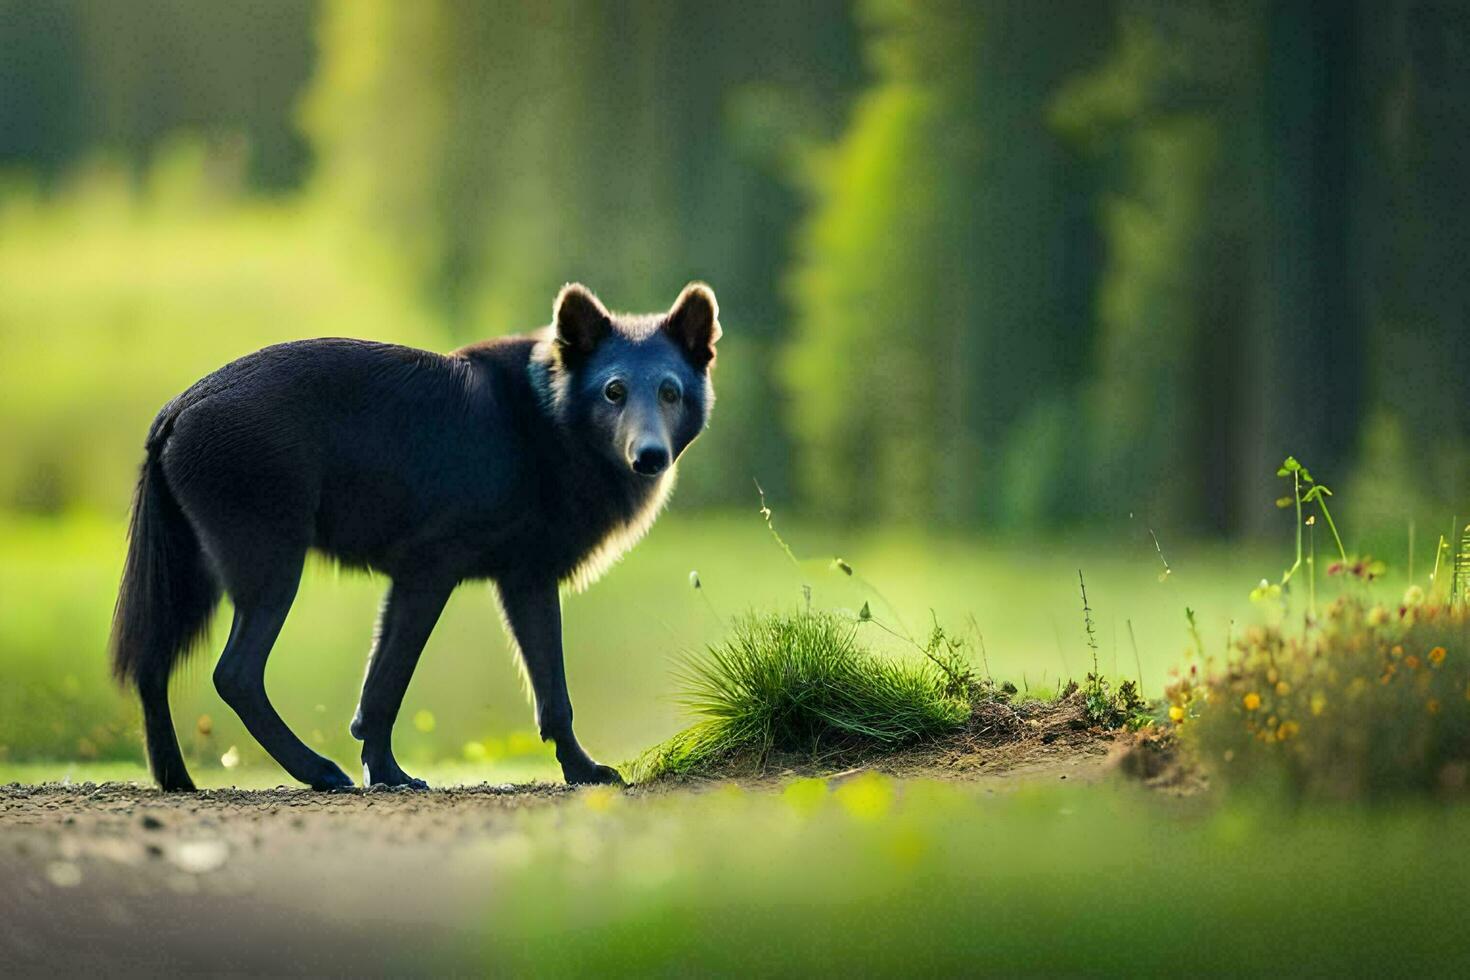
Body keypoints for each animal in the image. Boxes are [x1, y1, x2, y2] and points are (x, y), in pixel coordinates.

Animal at [108, 282, 717, 787]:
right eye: (614, 391)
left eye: (670, 393)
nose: (649, 456)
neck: (550, 423)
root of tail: (180, 406)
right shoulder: (431, 574)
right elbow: (389, 686)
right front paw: (388, 775)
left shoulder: (522, 581)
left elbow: (550, 695)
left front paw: (580, 770)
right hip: (269, 572)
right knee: (234, 675)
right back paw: (317, 771)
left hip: (190, 578)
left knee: (150, 666)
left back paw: (175, 779)